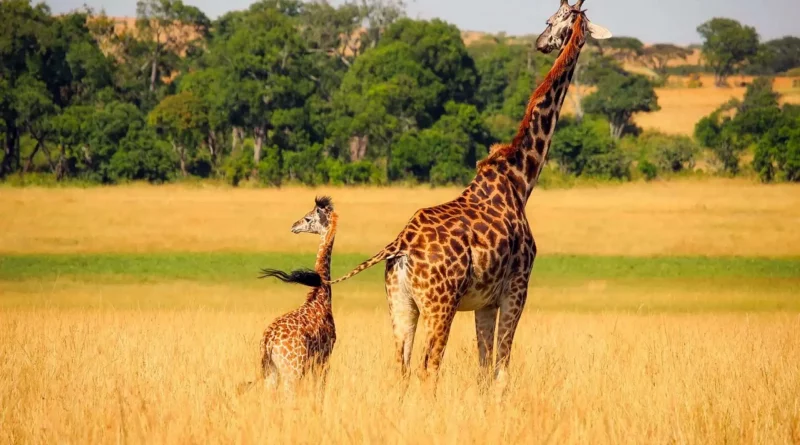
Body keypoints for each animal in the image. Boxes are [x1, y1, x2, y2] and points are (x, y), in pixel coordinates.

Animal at [239, 196, 338, 395]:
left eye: (308, 218)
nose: (294, 226)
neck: (321, 295)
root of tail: (268, 342)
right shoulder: (324, 357)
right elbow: (319, 391)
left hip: (272, 372)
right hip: (292, 371)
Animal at [268, 1, 611, 386]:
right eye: (551, 20)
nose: (540, 43)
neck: (520, 180)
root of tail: (399, 245)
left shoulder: (484, 301)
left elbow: (483, 367)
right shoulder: (517, 288)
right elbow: (501, 368)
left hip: (401, 303)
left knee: (402, 367)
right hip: (440, 304)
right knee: (428, 367)